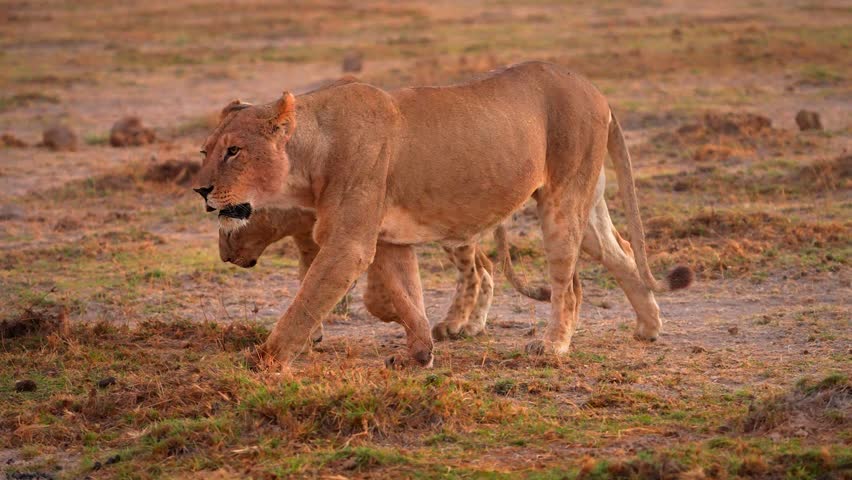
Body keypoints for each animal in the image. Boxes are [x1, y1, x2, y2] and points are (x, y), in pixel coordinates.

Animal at [195, 61, 692, 368]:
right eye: (205, 151)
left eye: (234, 151)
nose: (200, 189)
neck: (309, 155)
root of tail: (596, 91)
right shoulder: (389, 241)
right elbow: (402, 296)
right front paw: (419, 352)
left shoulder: (349, 244)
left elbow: (306, 302)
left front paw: (264, 361)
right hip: (587, 204)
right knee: (620, 253)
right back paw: (649, 328)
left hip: (562, 202)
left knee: (569, 285)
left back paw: (553, 346)